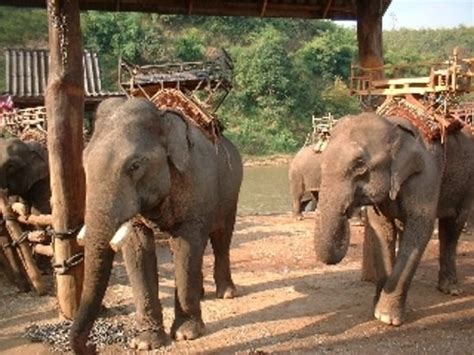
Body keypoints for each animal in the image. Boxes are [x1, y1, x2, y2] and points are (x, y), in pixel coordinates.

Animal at [70, 96, 244, 354]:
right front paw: (146, 342)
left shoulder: (195, 185)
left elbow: (186, 246)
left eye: (134, 166)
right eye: (84, 164)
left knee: (222, 237)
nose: (91, 346)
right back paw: (203, 293)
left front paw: (186, 334)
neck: (162, 118)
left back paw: (227, 294)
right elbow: (137, 250)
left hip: (232, 191)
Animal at [314, 113, 474, 328]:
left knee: (452, 226)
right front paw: (376, 307)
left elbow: (421, 228)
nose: (347, 212)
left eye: (360, 165)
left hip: (466, 184)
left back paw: (451, 290)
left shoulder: (426, 174)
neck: (394, 126)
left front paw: (387, 318)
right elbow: (381, 229)